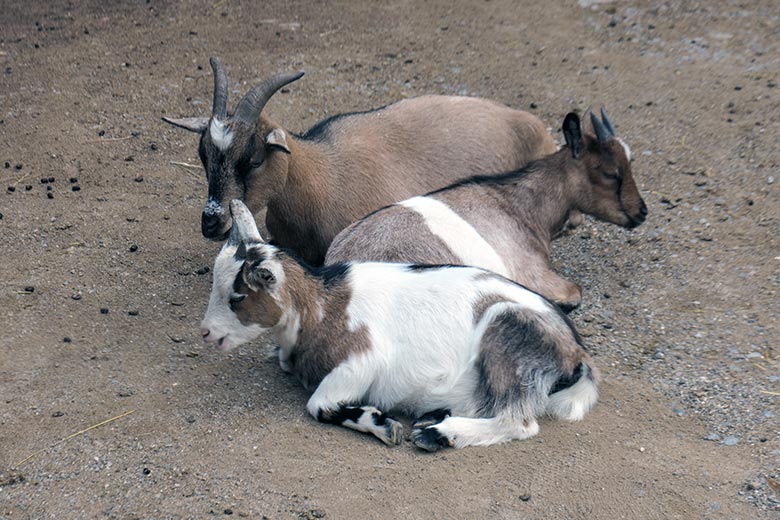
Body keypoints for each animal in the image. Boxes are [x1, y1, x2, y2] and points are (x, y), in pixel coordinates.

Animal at [200, 199, 596, 450]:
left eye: (236, 297)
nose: (207, 332)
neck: (323, 306)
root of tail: (576, 354)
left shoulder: (362, 361)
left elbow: (318, 405)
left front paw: (382, 423)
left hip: (507, 343)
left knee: (519, 422)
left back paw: (438, 434)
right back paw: (435, 414)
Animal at [326, 109, 648, 308]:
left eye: (630, 161)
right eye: (609, 173)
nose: (641, 212)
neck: (523, 206)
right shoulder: (533, 273)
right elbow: (572, 294)